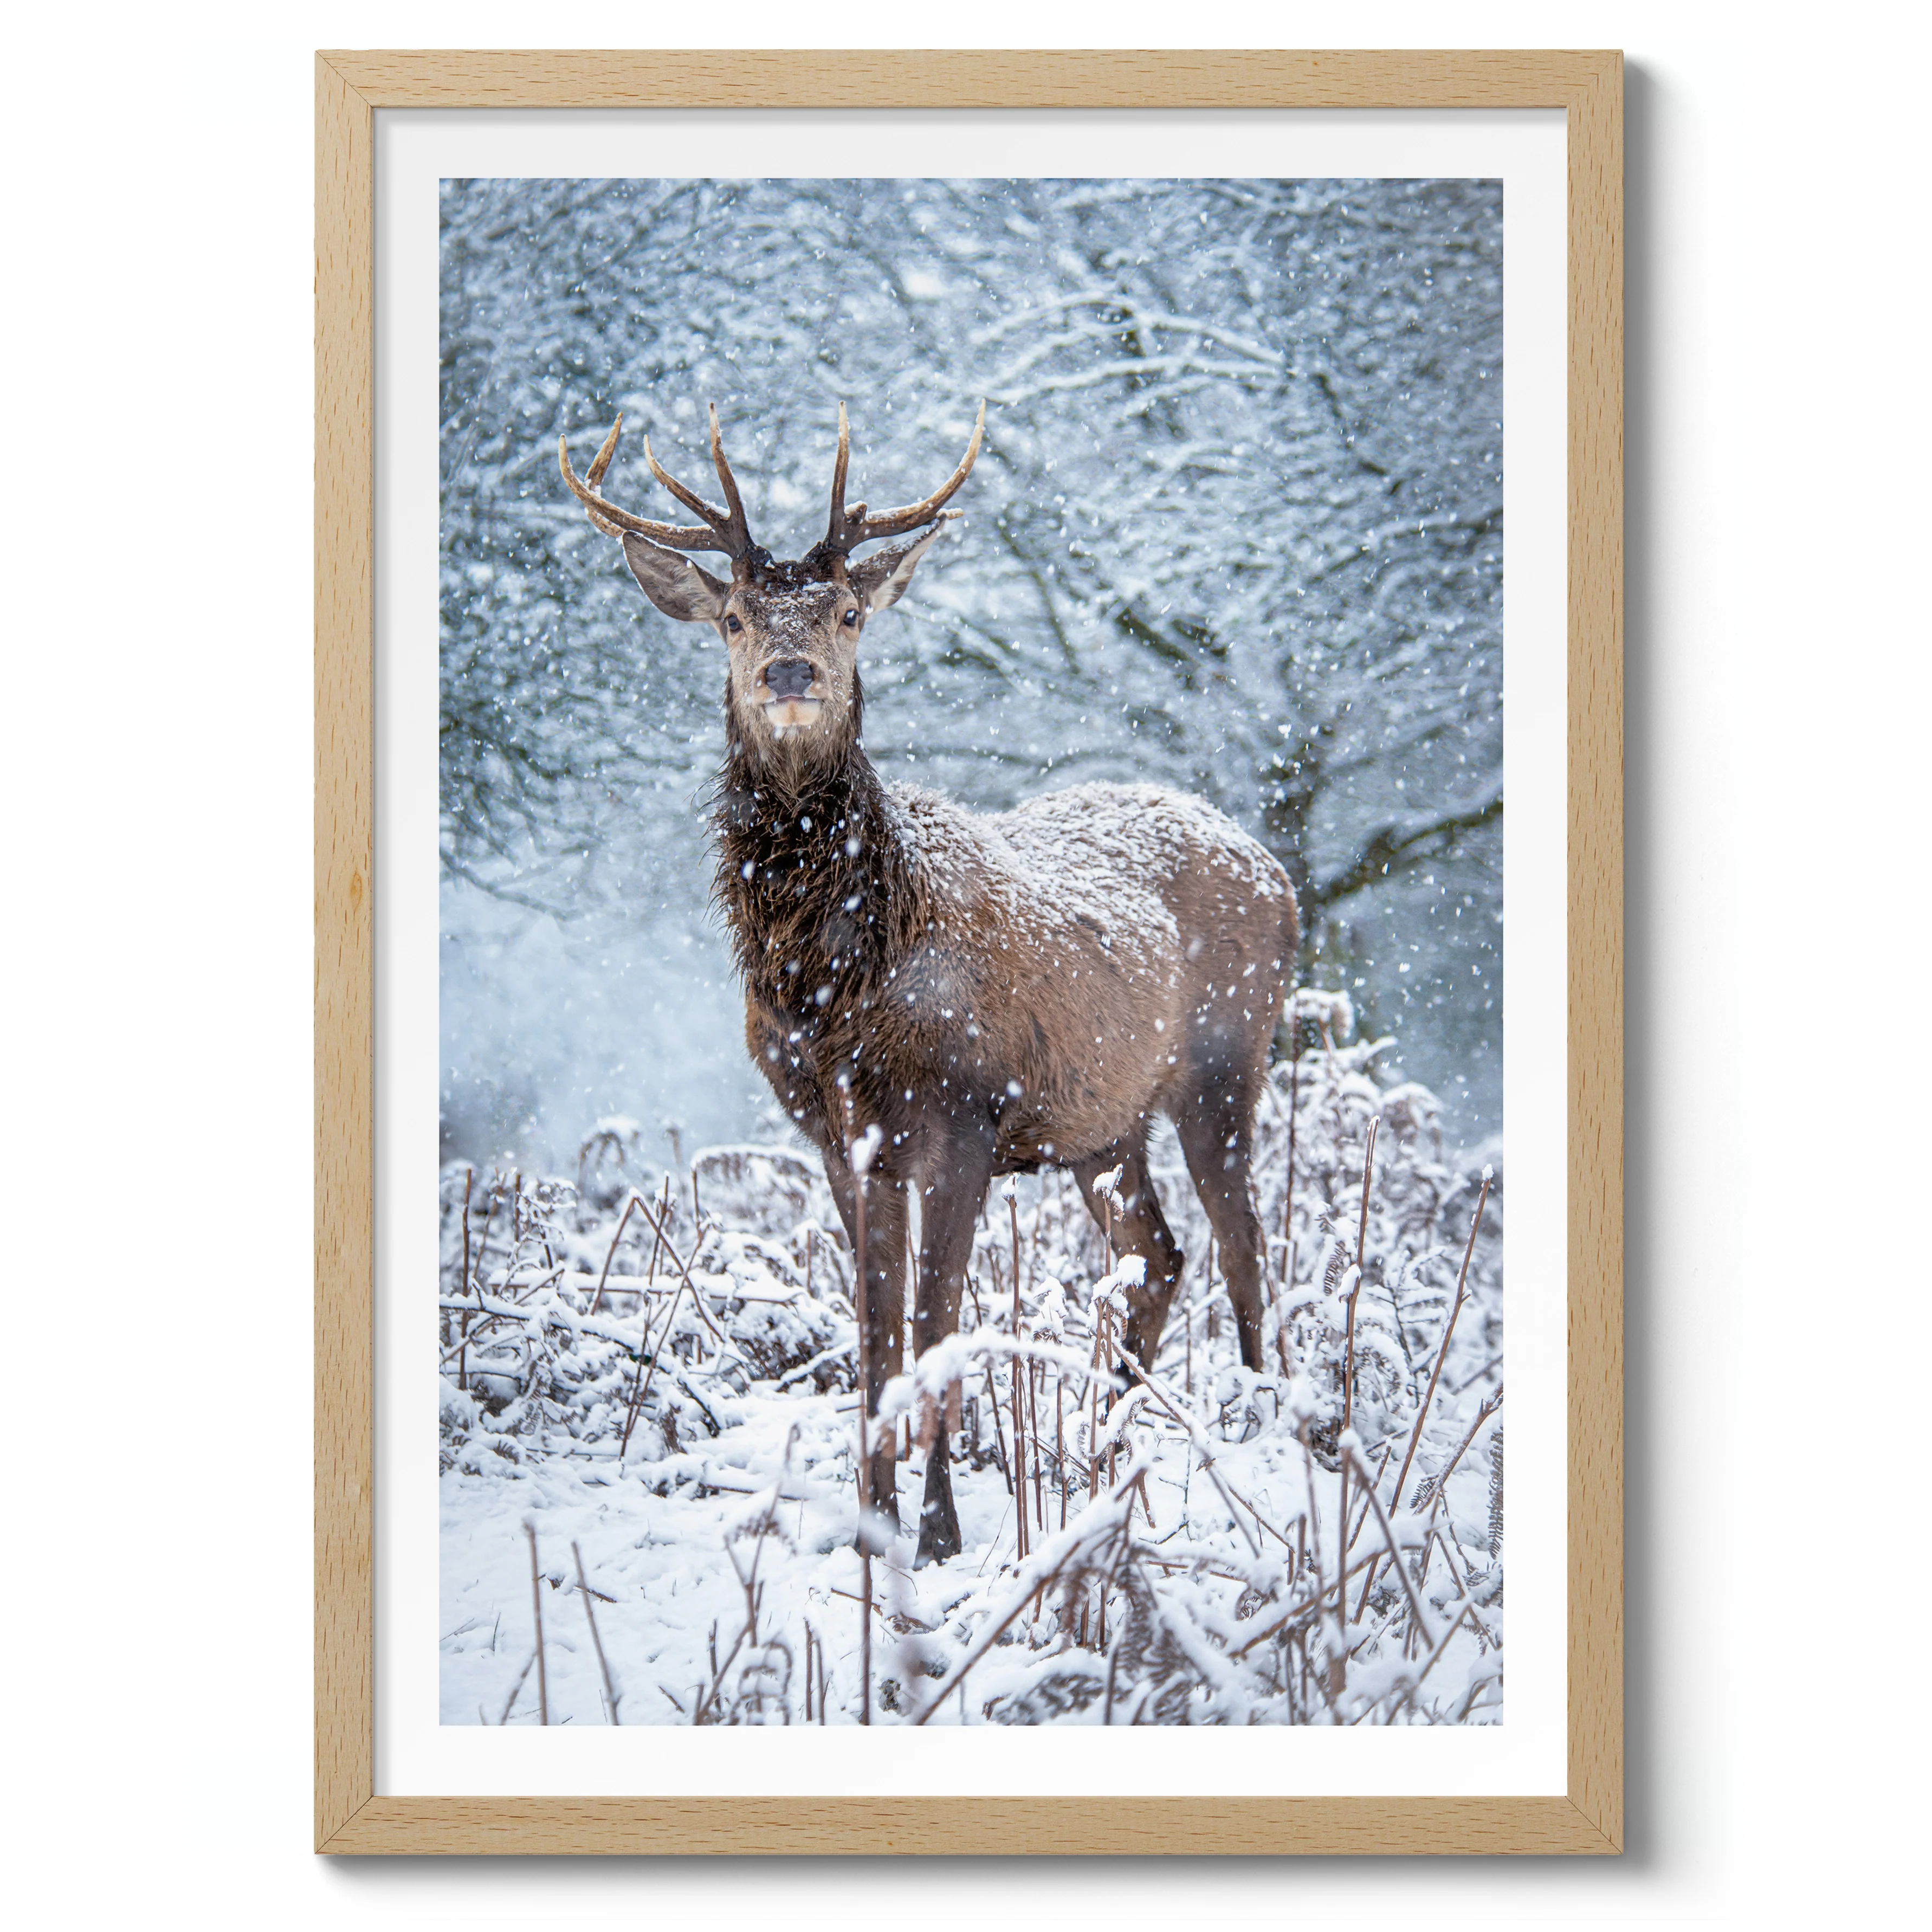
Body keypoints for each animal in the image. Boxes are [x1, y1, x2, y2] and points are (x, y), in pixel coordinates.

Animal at [559, 402, 1299, 1568]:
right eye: (731, 616)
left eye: (850, 610)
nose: (789, 673)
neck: (835, 995)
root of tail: (1277, 871)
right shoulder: (837, 1134)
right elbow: (871, 1328)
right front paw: (871, 1520)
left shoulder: (961, 1113)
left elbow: (935, 1324)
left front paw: (943, 1533)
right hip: (1101, 1120)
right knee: (1158, 1251)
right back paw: (1108, 1434)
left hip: (1228, 1061)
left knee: (1243, 1243)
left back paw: (1258, 1433)